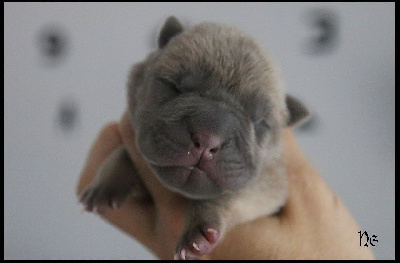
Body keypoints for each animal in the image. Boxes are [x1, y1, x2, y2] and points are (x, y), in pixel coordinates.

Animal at [78, 17, 310, 262]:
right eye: (174, 87)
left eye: (259, 123)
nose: (208, 139)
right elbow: (124, 153)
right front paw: (106, 183)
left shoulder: (268, 187)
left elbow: (227, 197)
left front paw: (199, 231)